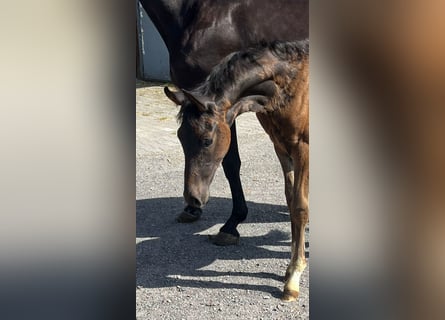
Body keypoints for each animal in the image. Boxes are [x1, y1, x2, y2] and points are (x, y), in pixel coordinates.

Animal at [164, 39, 308, 300]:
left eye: (207, 140)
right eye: (180, 136)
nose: (193, 198)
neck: (292, 85)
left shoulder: (303, 148)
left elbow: (301, 208)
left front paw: (293, 278)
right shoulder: (282, 148)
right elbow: (291, 203)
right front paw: (291, 268)